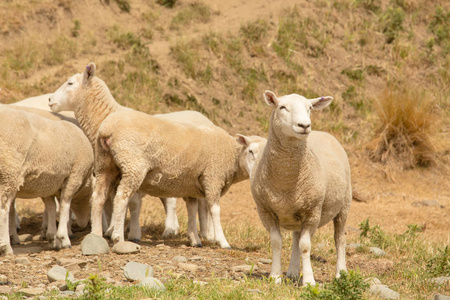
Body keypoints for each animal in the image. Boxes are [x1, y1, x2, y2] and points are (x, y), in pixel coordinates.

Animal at [0, 106, 93, 255]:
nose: (84, 224)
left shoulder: (48, 183)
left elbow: (51, 207)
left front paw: (52, 238)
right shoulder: (74, 175)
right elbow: (65, 205)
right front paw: (63, 239)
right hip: (9, 173)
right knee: (4, 209)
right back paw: (6, 247)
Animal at [51, 62, 251, 248]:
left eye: (70, 83)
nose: (50, 99)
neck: (106, 114)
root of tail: (203, 116)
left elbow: (131, 203)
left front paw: (129, 232)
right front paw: (114, 230)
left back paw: (202, 233)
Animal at [246, 90, 352, 284]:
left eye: (309, 108)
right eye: (282, 107)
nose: (304, 125)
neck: (285, 180)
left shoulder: (312, 212)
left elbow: (305, 246)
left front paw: (309, 281)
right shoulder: (265, 211)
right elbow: (277, 242)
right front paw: (275, 276)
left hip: (344, 205)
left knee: (339, 238)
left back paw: (341, 273)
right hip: (297, 212)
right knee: (296, 237)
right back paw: (293, 271)